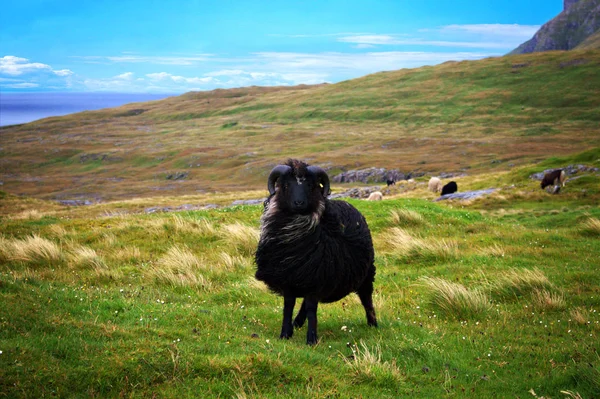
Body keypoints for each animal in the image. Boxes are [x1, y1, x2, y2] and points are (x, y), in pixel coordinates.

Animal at [255, 158, 378, 346]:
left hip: (366, 272)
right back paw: (297, 322)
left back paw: (373, 323)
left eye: (310, 185)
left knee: (366, 297)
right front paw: (285, 333)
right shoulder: (289, 278)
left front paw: (311, 339)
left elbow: (312, 308)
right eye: (286, 185)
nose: (299, 203)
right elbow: (288, 305)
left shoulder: (316, 278)